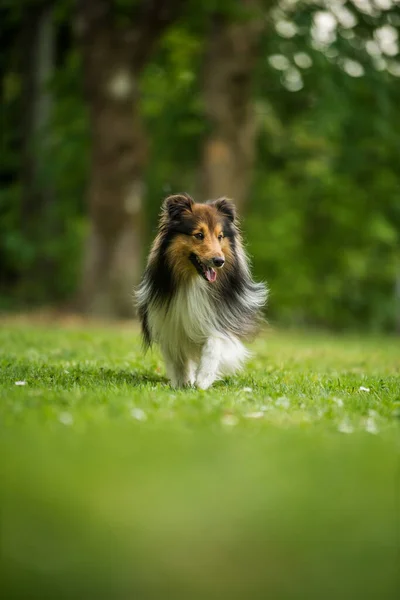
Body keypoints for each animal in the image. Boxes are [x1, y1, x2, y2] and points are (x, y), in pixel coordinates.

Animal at [136, 192, 268, 390]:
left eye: (220, 236)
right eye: (199, 235)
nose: (219, 261)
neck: (195, 282)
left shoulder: (223, 320)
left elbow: (214, 343)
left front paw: (203, 378)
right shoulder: (169, 322)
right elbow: (178, 358)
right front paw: (183, 382)